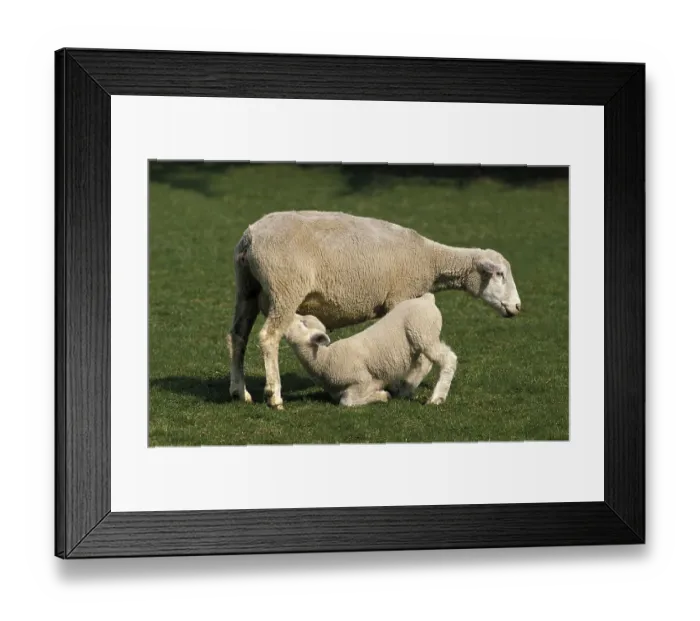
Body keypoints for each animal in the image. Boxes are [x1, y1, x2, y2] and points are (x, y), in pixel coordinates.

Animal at [284, 293, 457, 407]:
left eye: (303, 323)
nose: (288, 314)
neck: (324, 359)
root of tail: (426, 299)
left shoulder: (362, 379)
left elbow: (347, 401)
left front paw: (381, 395)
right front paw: (387, 392)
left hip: (423, 333)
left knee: (448, 359)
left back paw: (437, 398)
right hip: (420, 340)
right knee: (423, 364)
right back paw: (406, 390)